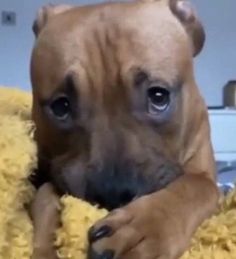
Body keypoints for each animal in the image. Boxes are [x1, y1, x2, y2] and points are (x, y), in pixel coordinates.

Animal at [29, 0, 219, 259]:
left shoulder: (204, 175)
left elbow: (193, 186)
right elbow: (45, 195)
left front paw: (146, 225)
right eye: (60, 106)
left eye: (158, 96)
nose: (113, 195)